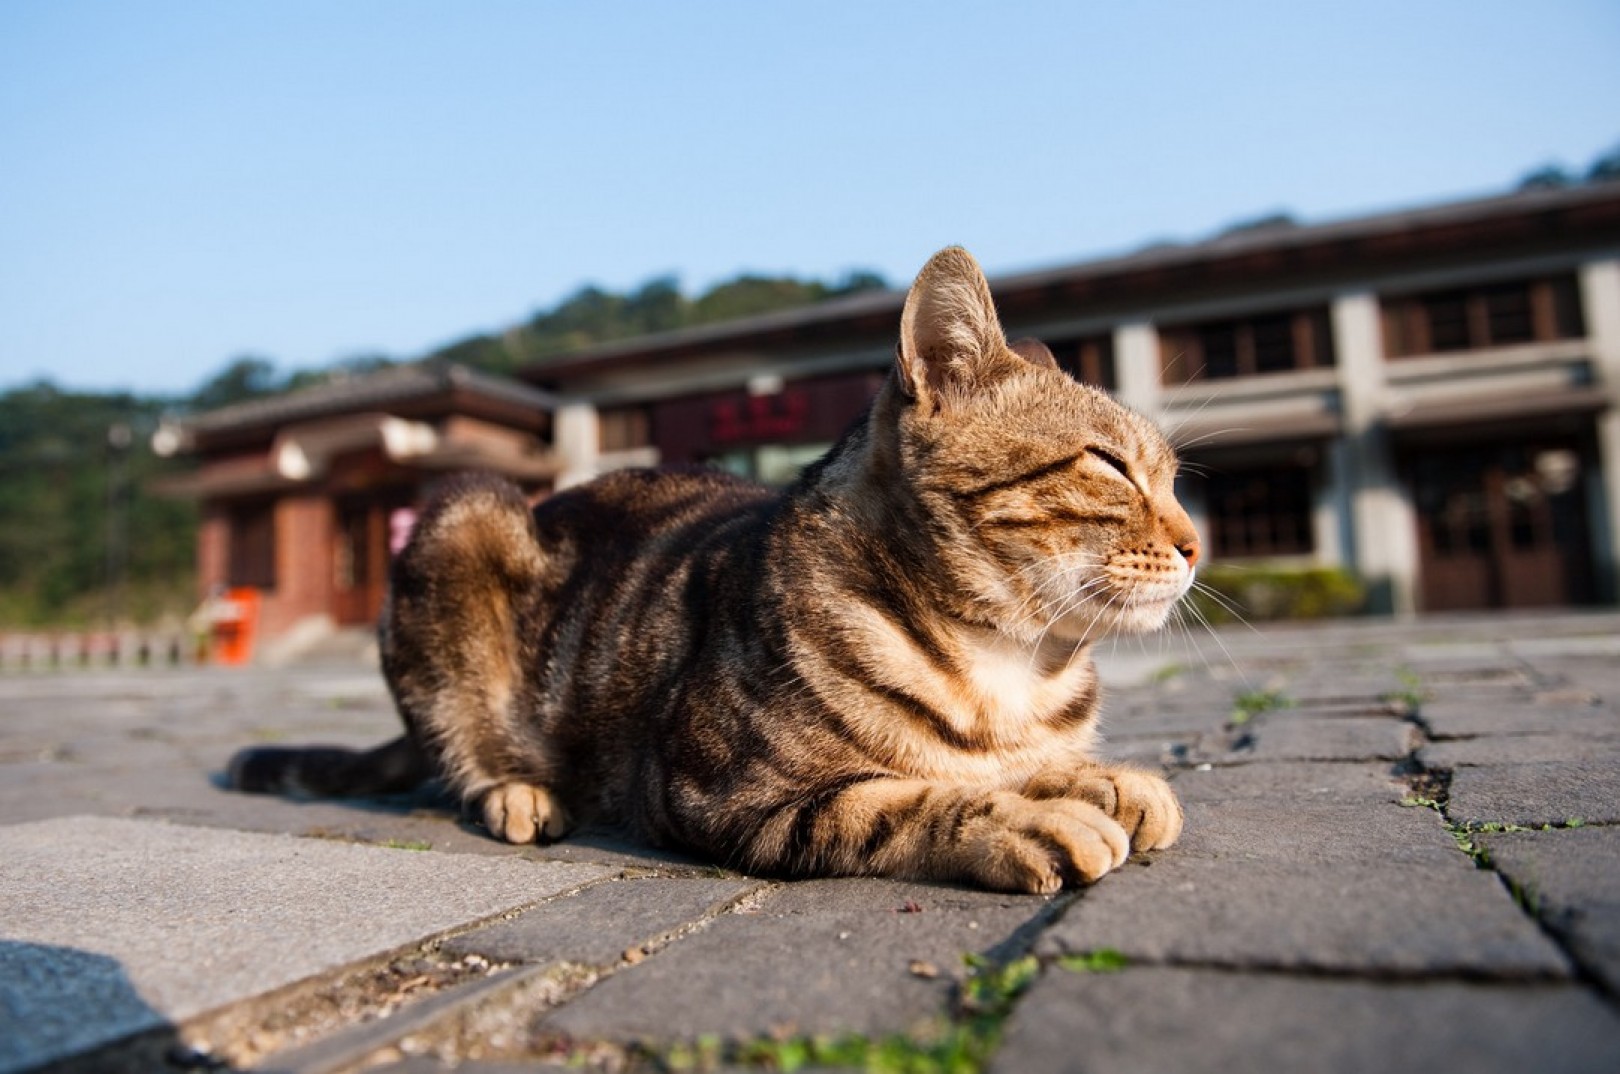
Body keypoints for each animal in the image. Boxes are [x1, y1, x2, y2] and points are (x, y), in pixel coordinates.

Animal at [228, 247, 1198, 894]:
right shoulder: (727, 794)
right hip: (463, 514)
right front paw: (1029, 812)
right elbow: (905, 802)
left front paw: (1098, 777)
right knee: (452, 750)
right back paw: (516, 792)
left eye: (1171, 477)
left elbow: (1007, 766)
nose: (1195, 544)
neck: (1012, 661)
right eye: (1111, 466)